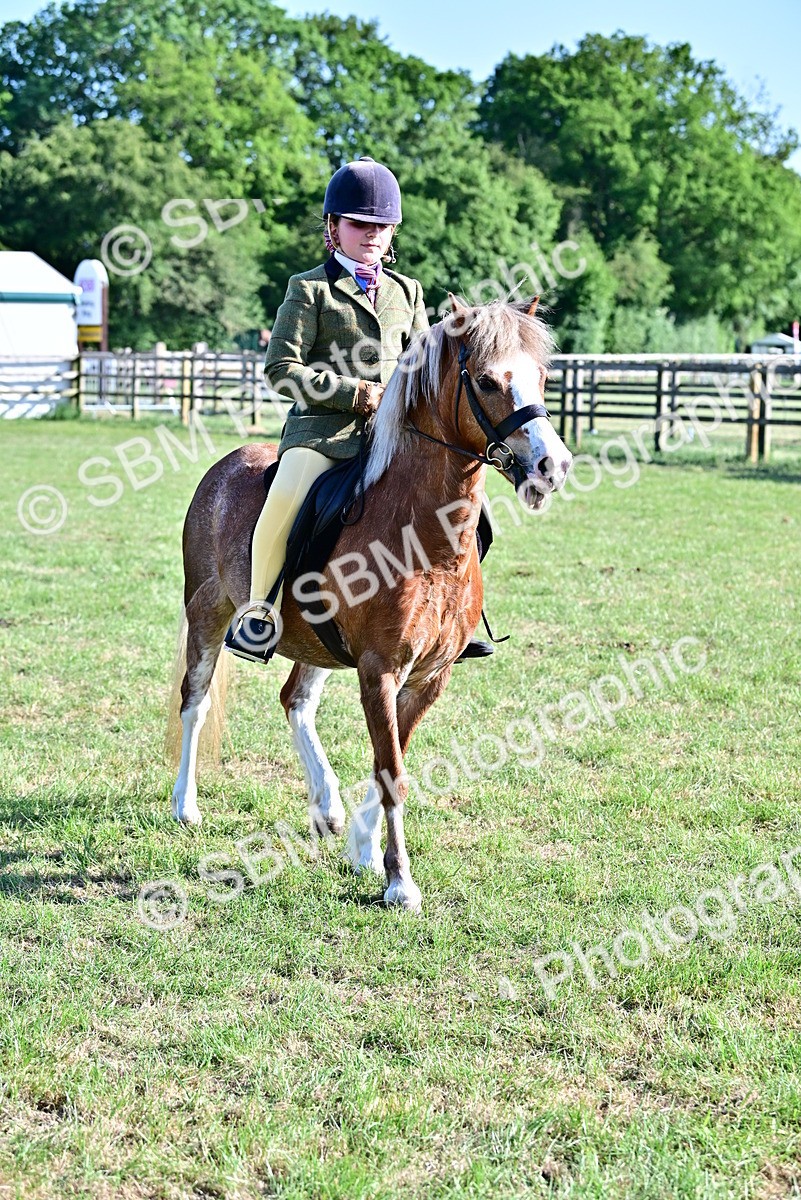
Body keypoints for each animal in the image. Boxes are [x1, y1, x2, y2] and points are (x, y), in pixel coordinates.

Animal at [168, 295, 573, 911]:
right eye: (486, 380)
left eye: (543, 377)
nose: (553, 466)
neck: (427, 540)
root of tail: (226, 463)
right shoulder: (380, 670)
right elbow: (393, 769)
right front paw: (400, 881)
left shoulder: (426, 677)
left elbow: (389, 766)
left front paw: (364, 849)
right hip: (208, 614)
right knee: (195, 702)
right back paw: (185, 805)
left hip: (316, 643)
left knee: (295, 701)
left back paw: (327, 808)